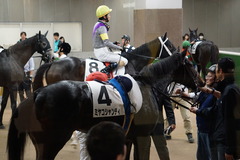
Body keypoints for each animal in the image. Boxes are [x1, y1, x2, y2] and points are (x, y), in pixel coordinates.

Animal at [6, 51, 203, 160]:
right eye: (191, 66)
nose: (201, 85)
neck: (147, 85)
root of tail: (36, 95)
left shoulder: (128, 138)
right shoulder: (142, 137)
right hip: (51, 142)